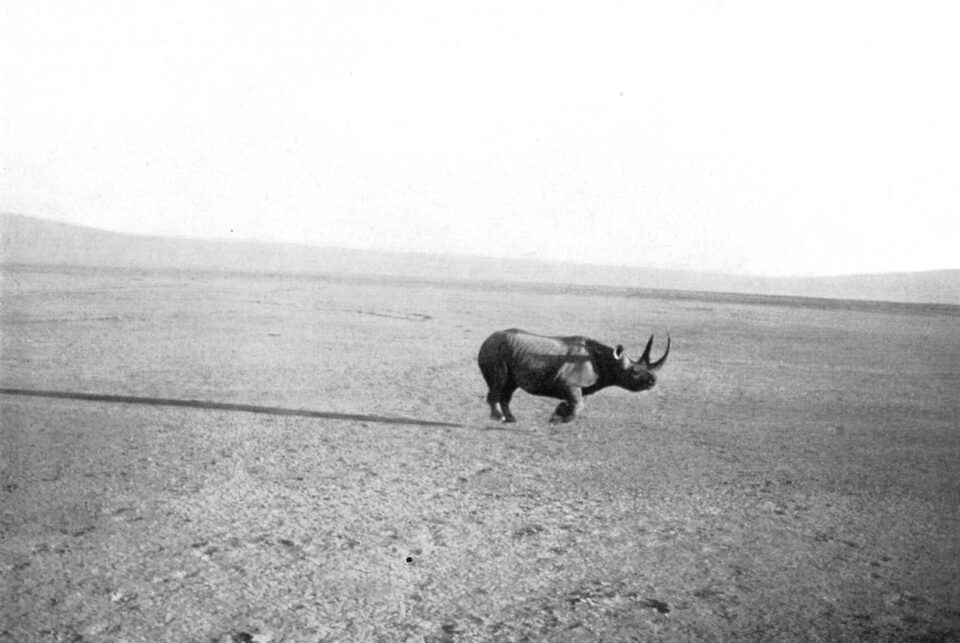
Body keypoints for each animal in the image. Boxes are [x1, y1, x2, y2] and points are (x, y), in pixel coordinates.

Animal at [478, 328, 670, 423]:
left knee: (509, 386)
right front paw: (561, 419)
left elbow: (575, 402)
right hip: (495, 351)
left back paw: (511, 419)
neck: (609, 360)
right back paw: (498, 417)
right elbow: (579, 404)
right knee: (499, 382)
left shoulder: (580, 386)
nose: (653, 381)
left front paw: (557, 414)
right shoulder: (568, 382)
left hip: (507, 351)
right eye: (635, 372)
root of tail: (488, 338)